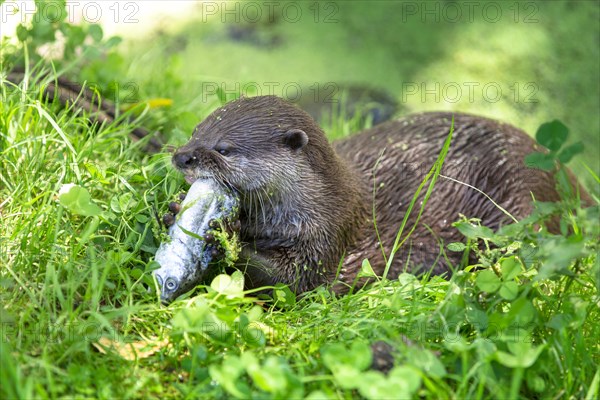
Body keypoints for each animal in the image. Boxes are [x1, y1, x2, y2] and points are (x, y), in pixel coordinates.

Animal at [171, 94, 584, 294]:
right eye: (195, 131)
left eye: (224, 149)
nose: (181, 156)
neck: (323, 202)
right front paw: (174, 209)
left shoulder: (328, 237)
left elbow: (291, 281)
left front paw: (224, 234)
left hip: (520, 204)